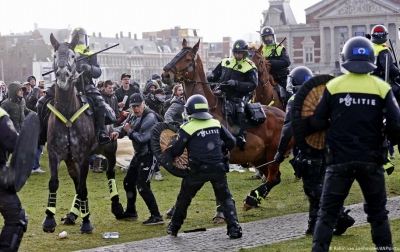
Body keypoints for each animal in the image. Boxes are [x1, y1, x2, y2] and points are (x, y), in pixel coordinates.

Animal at [161, 39, 292, 211]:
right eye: (176, 54)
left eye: (188, 59)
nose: (165, 75)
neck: (205, 110)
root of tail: (285, 115)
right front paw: (174, 209)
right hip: (259, 157)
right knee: (271, 177)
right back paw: (253, 199)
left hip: (272, 154)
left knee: (274, 177)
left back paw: (251, 199)